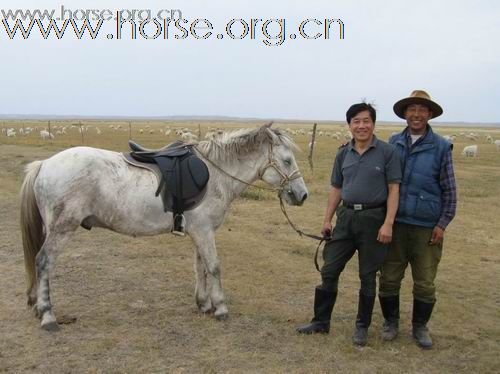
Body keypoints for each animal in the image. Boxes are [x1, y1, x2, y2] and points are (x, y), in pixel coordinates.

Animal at [20, 125, 308, 330]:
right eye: (287, 160)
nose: (302, 195)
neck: (216, 175)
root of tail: (44, 165)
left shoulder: (199, 231)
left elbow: (200, 267)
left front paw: (204, 304)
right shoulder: (204, 231)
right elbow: (214, 266)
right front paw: (221, 308)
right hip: (62, 229)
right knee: (43, 262)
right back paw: (48, 316)